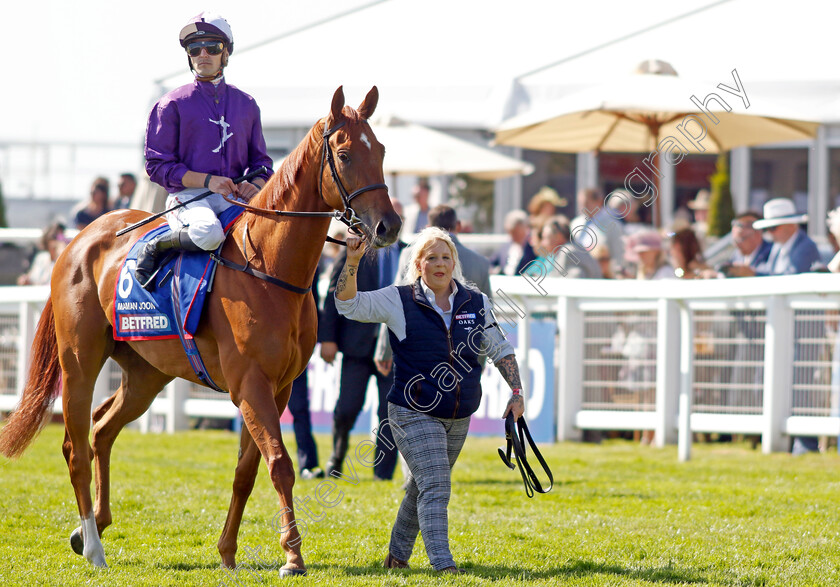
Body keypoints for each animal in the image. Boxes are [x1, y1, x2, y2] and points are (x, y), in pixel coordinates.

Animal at [0, 87, 398, 580]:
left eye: (381, 150)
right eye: (344, 154)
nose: (389, 226)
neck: (269, 267)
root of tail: (79, 240)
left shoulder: (278, 388)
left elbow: (247, 471)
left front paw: (228, 551)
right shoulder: (251, 385)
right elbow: (280, 464)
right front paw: (292, 556)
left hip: (147, 373)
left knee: (102, 430)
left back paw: (93, 526)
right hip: (80, 364)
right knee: (76, 447)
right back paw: (93, 546)